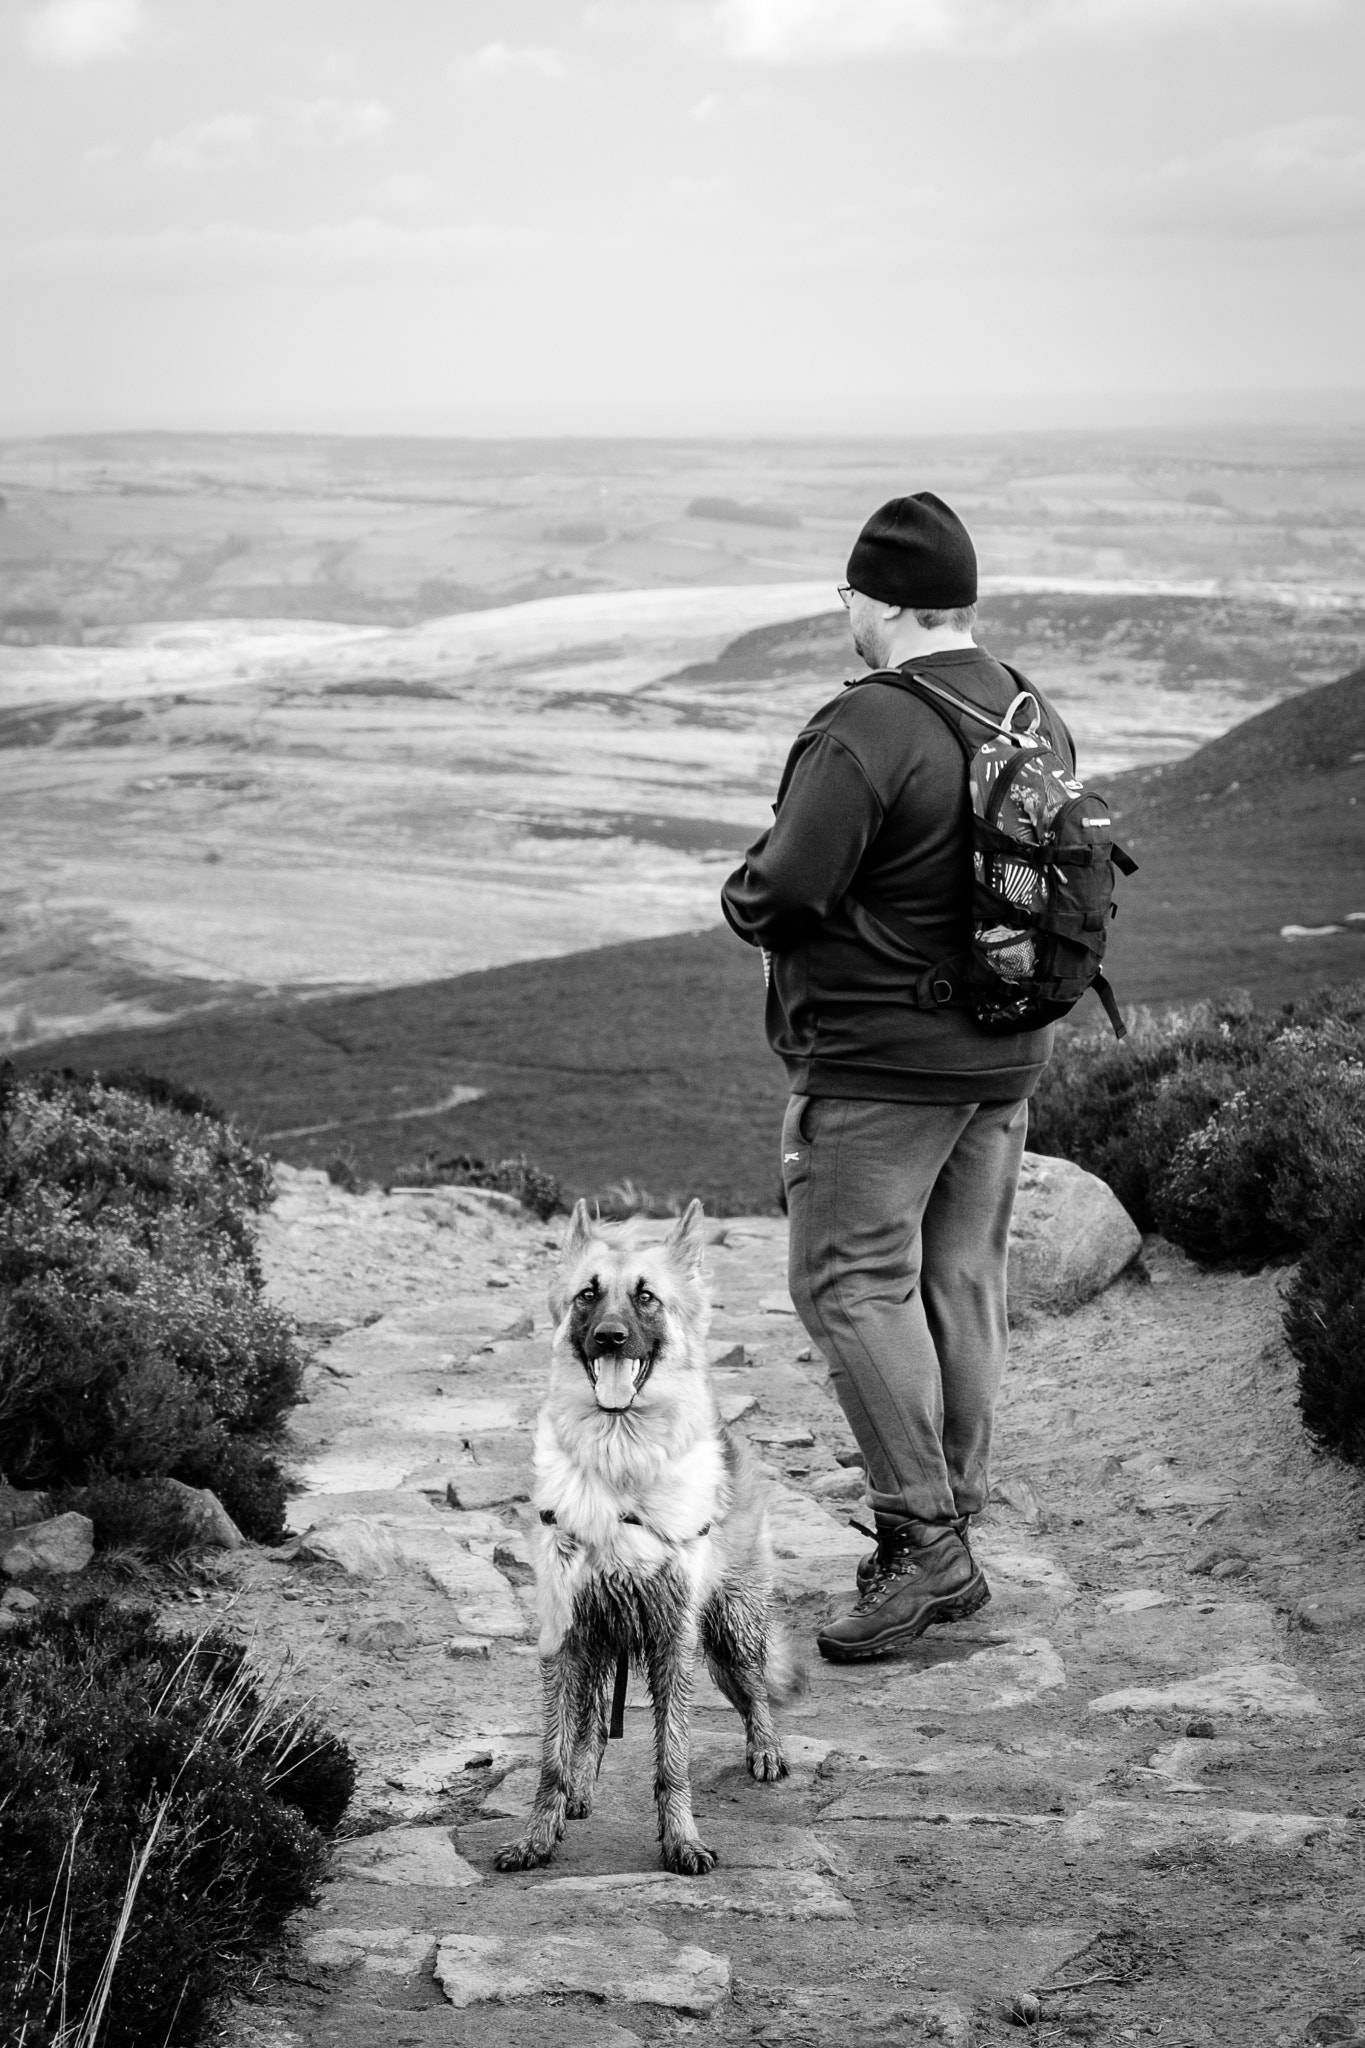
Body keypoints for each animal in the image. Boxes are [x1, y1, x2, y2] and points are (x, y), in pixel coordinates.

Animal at [493, 1196, 802, 1875]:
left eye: (646, 1298)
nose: (609, 1337)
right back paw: (580, 1788)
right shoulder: (566, 1636)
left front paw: (681, 1840)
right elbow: (553, 1755)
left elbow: (673, 1757)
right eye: (587, 1295)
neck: (620, 1464)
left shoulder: (672, 1639)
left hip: (731, 1632)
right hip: (602, 1643)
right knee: (588, 1727)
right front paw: (538, 1836)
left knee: (755, 1692)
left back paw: (765, 1749)